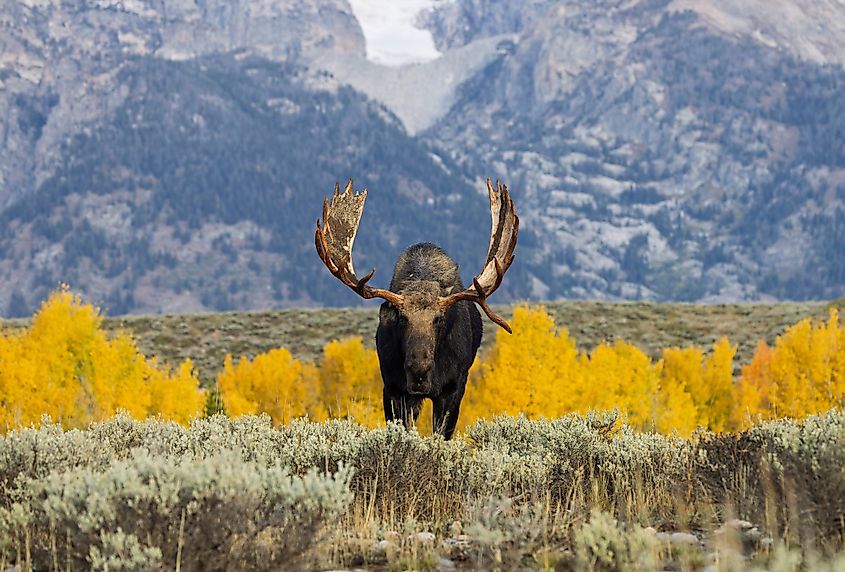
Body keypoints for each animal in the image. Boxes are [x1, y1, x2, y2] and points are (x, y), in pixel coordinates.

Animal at [315, 179, 518, 439]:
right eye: (402, 318)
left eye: (439, 319)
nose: (418, 370)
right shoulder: (392, 388)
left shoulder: (453, 389)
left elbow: (441, 434)